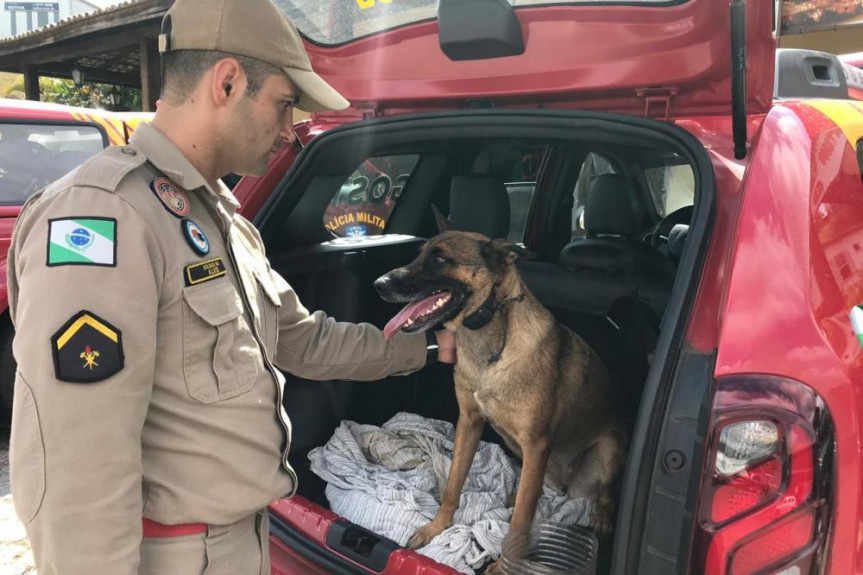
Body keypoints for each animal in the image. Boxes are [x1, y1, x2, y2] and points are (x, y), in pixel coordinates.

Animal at [374, 232, 624, 572]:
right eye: (419, 254)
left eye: (439, 258)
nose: (379, 283)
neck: (491, 333)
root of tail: (566, 486)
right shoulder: (469, 422)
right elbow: (453, 485)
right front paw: (436, 528)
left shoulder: (536, 444)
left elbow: (520, 521)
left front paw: (506, 565)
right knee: (533, 487)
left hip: (608, 448)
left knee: (605, 492)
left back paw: (601, 516)